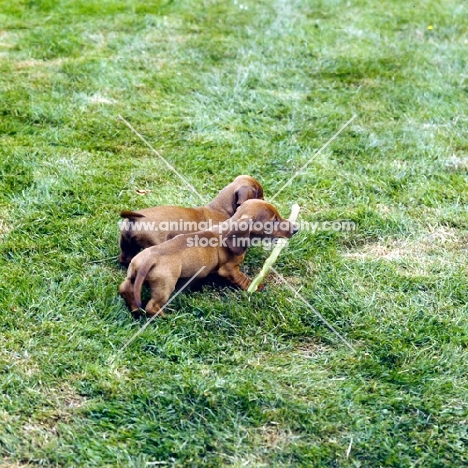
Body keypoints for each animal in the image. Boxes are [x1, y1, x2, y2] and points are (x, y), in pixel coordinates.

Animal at [119, 199, 298, 316]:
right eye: (273, 221)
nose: (296, 229)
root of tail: (150, 259)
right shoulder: (229, 269)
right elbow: (242, 279)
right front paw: (256, 287)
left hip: (133, 273)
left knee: (125, 289)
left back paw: (135, 310)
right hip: (165, 285)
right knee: (152, 306)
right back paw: (166, 316)